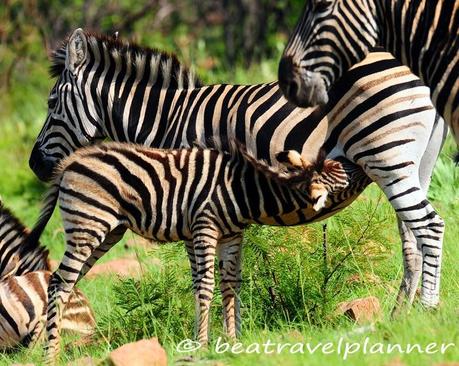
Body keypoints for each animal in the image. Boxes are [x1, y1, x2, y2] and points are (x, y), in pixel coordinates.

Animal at [28, 30, 446, 314]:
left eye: (51, 103)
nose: (34, 165)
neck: (169, 119)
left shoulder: (189, 196)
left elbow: (203, 271)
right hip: (414, 164)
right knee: (412, 237)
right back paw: (399, 317)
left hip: (387, 156)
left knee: (429, 227)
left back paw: (426, 310)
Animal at [28, 142, 364, 362]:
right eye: (338, 170)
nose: (354, 158)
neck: (243, 190)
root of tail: (71, 161)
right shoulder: (205, 226)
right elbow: (206, 285)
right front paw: (202, 344)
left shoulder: (232, 235)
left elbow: (231, 286)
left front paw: (232, 340)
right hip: (87, 224)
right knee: (59, 283)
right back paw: (50, 355)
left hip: (107, 233)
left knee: (64, 283)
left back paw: (46, 348)